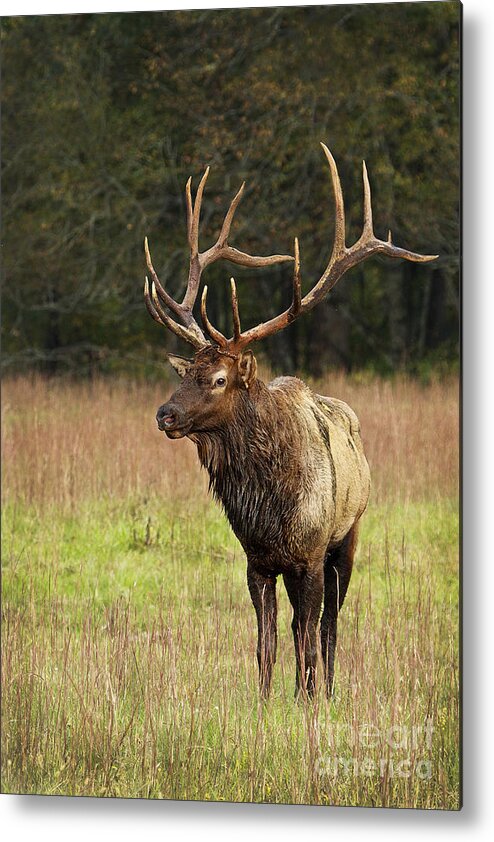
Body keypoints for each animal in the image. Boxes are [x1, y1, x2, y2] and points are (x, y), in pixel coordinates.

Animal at [143, 143, 436, 696]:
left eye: (219, 378)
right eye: (188, 370)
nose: (164, 414)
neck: (269, 508)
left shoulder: (311, 555)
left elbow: (307, 638)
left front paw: (307, 701)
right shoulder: (256, 561)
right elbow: (267, 643)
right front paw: (263, 702)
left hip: (349, 537)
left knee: (328, 625)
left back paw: (329, 689)